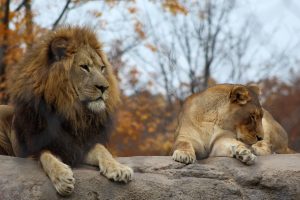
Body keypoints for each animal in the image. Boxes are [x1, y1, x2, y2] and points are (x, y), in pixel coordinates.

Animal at [0, 25, 132, 196]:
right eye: (84, 67)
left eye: (102, 68)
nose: (105, 87)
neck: (72, 112)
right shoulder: (29, 150)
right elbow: (46, 156)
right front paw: (62, 178)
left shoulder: (80, 144)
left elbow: (102, 150)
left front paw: (118, 168)